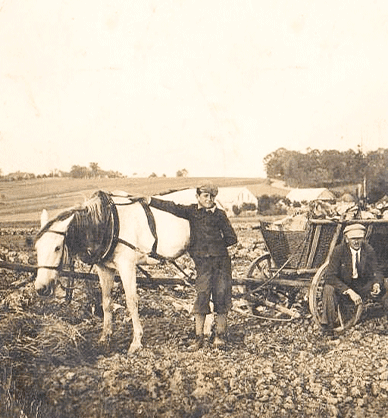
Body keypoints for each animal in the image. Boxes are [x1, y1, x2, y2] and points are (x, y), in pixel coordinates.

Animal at [34, 192, 189, 352]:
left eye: (57, 247)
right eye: (36, 247)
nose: (41, 288)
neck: (109, 222)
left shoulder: (127, 266)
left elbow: (131, 302)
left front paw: (136, 341)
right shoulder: (104, 268)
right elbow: (106, 302)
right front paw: (105, 337)